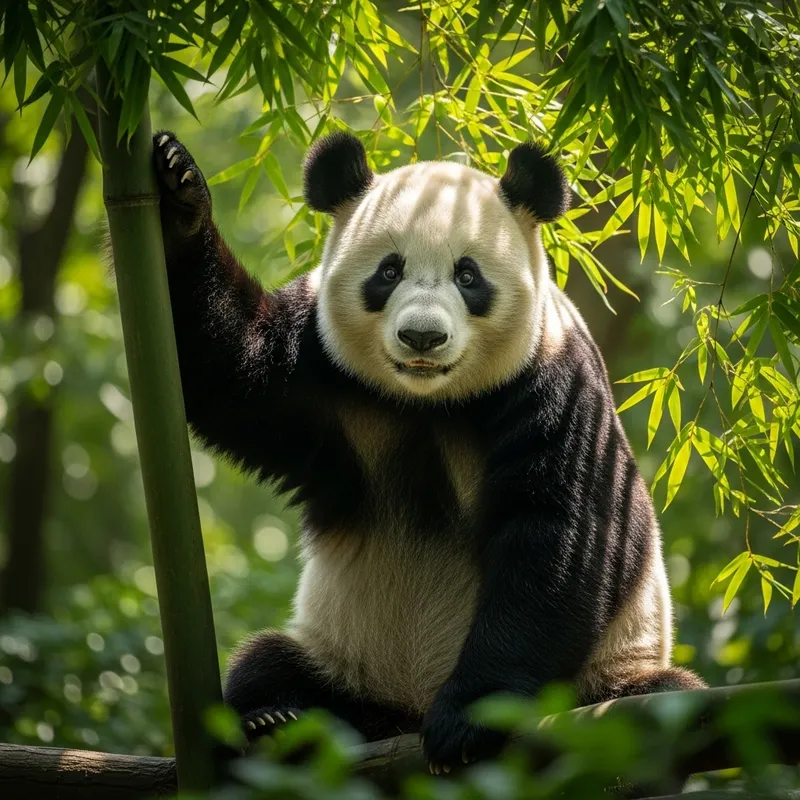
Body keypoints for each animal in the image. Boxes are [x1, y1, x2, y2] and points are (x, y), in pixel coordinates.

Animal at [152, 130, 704, 771]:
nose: (422, 337)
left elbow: (562, 534)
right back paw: (277, 721)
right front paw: (178, 187)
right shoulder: (316, 360)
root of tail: (402, 715)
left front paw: (468, 724)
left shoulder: (554, 380)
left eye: (468, 276)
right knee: (267, 663)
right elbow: (228, 369)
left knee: (660, 702)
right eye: (389, 271)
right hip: (347, 659)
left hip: (611, 670)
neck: (429, 401)